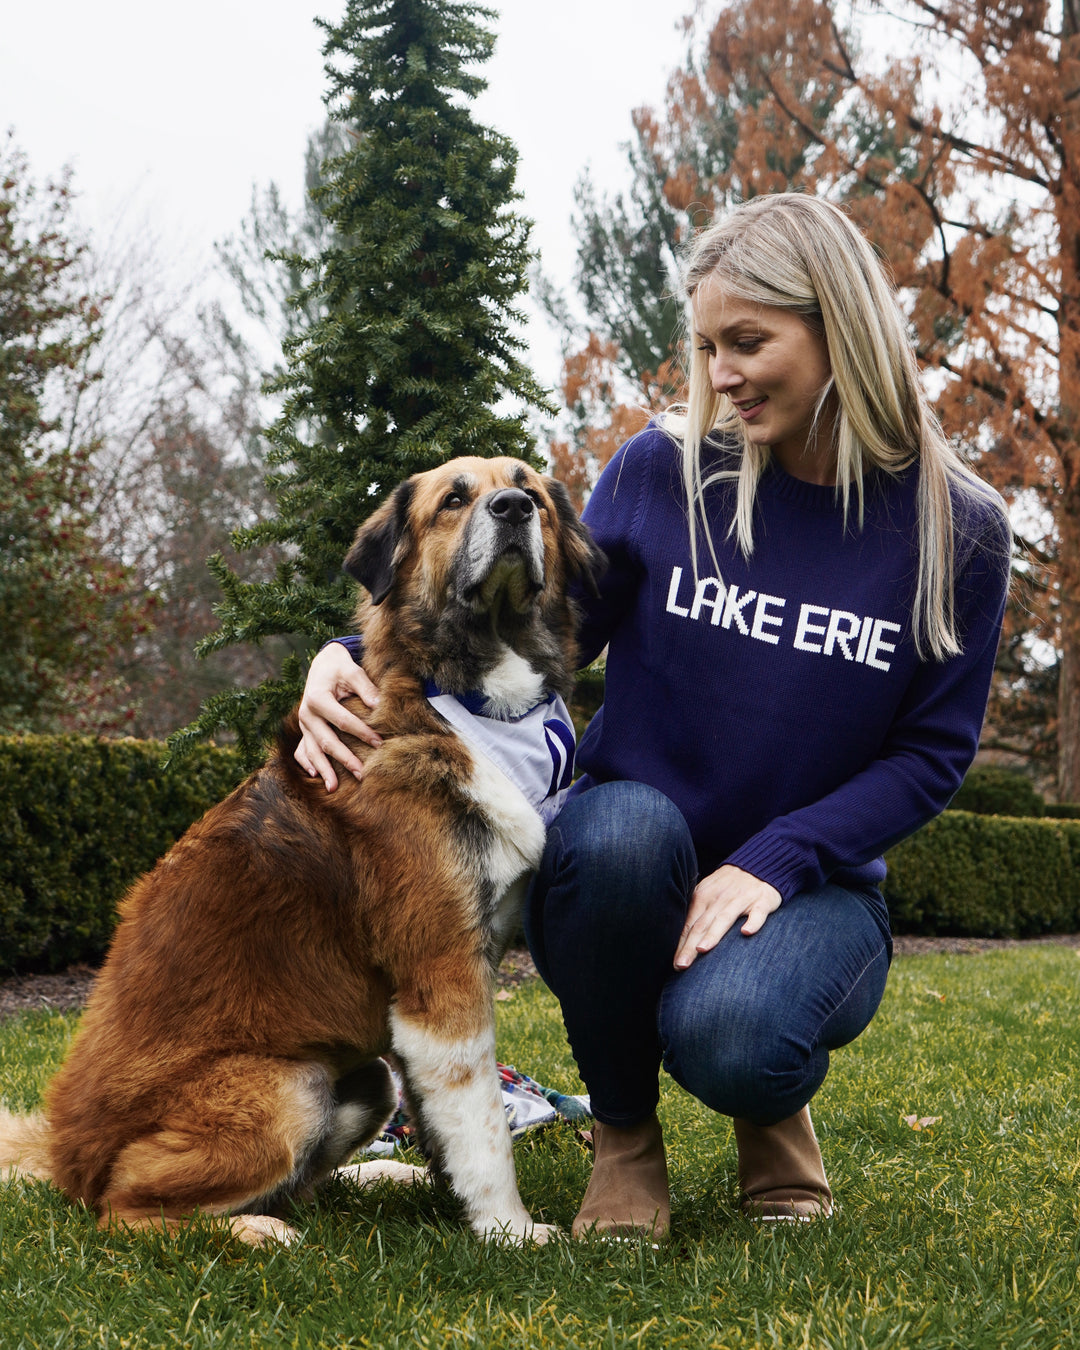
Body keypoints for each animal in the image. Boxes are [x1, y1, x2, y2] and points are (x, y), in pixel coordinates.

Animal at [0, 456, 607, 1242]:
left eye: (529, 488)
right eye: (454, 499)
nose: (511, 508)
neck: (467, 703)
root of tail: (64, 1156)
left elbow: (447, 1129)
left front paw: (458, 1206)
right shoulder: (443, 979)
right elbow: (482, 1128)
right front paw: (511, 1231)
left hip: (366, 1077)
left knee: (307, 1175)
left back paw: (372, 1179)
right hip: (282, 1088)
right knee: (126, 1212)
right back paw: (256, 1232)